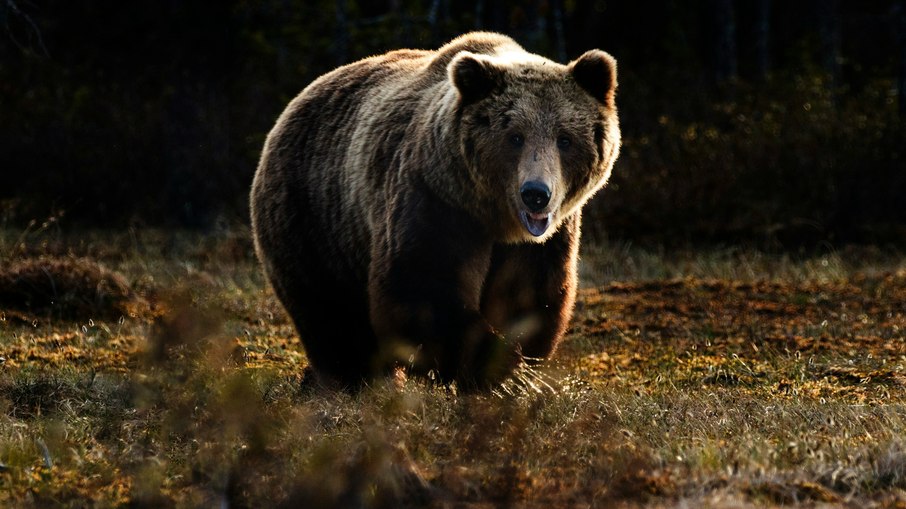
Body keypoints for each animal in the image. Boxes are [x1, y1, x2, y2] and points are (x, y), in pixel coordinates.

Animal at [247, 31, 616, 388]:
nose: (536, 194)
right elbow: (422, 287)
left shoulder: (544, 239)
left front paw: (516, 367)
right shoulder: (435, 200)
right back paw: (353, 379)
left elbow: (529, 296)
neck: (494, 217)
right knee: (331, 312)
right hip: (314, 217)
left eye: (565, 139)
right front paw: (499, 370)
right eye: (515, 136)